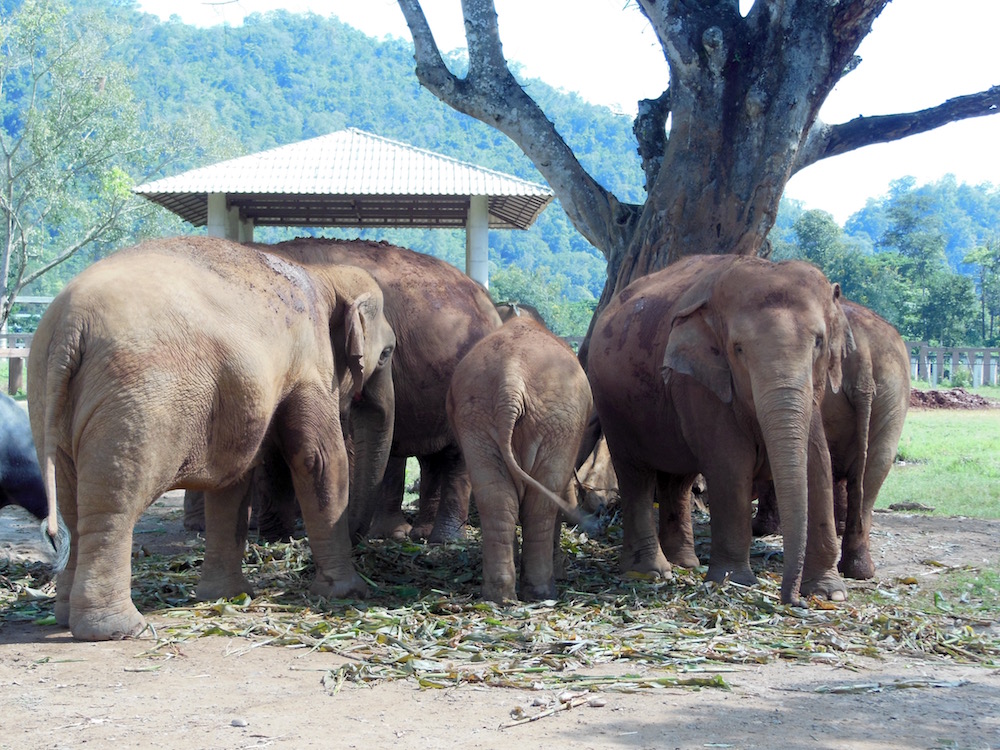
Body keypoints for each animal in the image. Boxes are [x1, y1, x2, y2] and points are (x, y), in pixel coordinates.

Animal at [28, 236, 394, 640]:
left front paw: (226, 595)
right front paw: (347, 592)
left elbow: (233, 481)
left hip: (46, 397)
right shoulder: (309, 362)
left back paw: (65, 618)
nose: (364, 544)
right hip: (134, 404)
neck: (325, 276)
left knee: (70, 502)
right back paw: (118, 630)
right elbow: (319, 460)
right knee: (114, 503)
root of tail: (69, 324)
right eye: (387, 353)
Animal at [448, 318, 592, 604]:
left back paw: (499, 596)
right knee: (541, 504)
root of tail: (511, 379)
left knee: (497, 499)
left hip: (478, 417)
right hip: (559, 422)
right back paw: (541, 592)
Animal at [588, 256, 856, 608]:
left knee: (678, 480)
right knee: (636, 476)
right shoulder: (700, 383)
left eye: (819, 342)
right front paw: (734, 581)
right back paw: (651, 572)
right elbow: (730, 467)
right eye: (738, 349)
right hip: (615, 409)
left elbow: (818, 463)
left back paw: (685, 563)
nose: (792, 599)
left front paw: (829, 592)